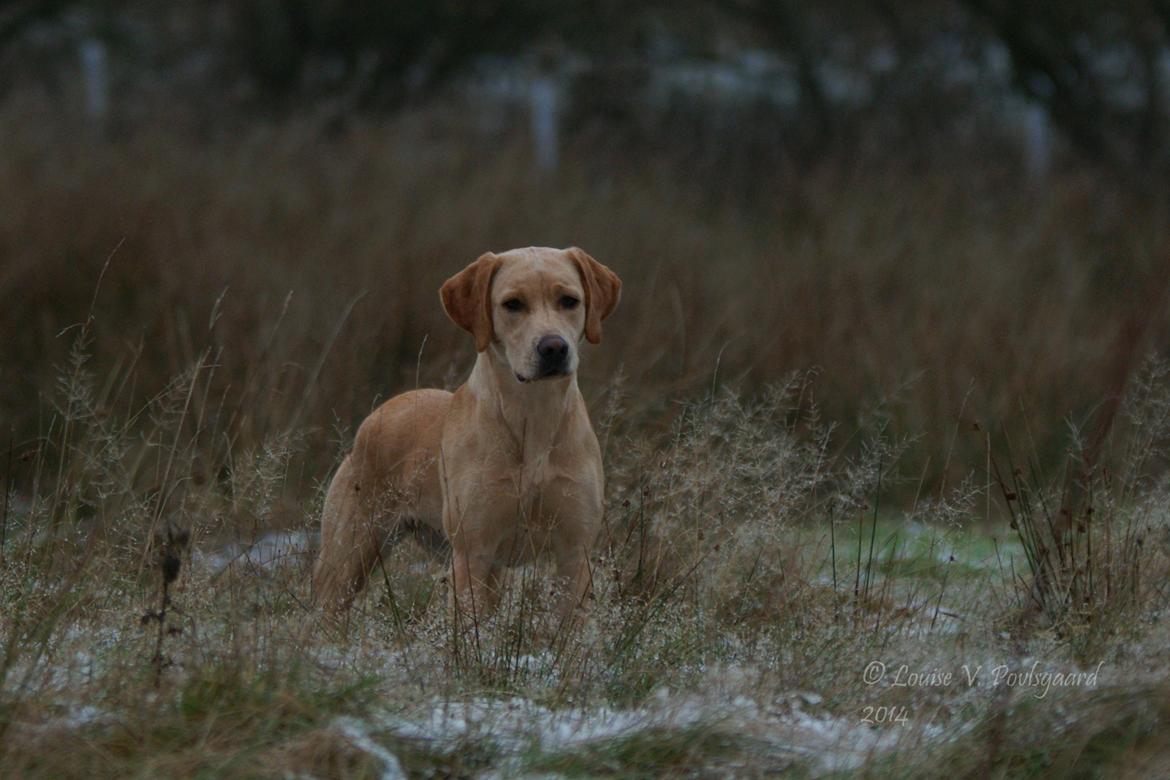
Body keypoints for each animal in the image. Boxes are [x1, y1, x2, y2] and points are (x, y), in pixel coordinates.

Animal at [311, 245, 622, 622]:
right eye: (513, 304)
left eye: (569, 300)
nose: (553, 348)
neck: (533, 418)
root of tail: (379, 413)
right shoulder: (473, 554)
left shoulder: (574, 555)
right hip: (346, 560)